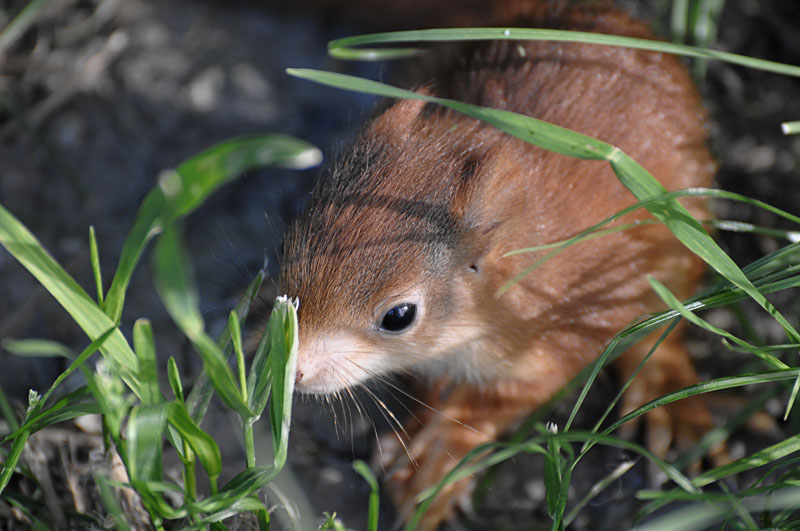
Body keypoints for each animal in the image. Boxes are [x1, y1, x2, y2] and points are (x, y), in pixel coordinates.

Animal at [280, 2, 712, 528]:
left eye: (398, 317)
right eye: (290, 245)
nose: (294, 372)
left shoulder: (563, 329)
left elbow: (504, 401)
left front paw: (438, 455)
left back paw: (667, 388)